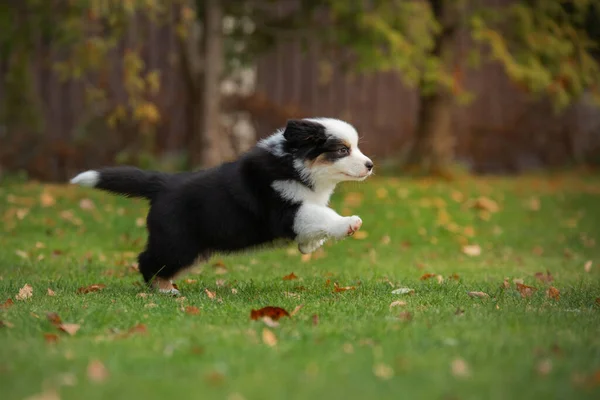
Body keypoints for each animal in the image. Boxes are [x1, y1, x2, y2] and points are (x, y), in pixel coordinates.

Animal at [70, 117, 370, 296]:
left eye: (355, 147)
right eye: (342, 150)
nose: (370, 165)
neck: (295, 164)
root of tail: (164, 183)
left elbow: (315, 220)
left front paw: (309, 245)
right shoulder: (287, 208)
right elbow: (322, 214)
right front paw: (349, 224)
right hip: (178, 243)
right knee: (147, 260)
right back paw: (164, 290)